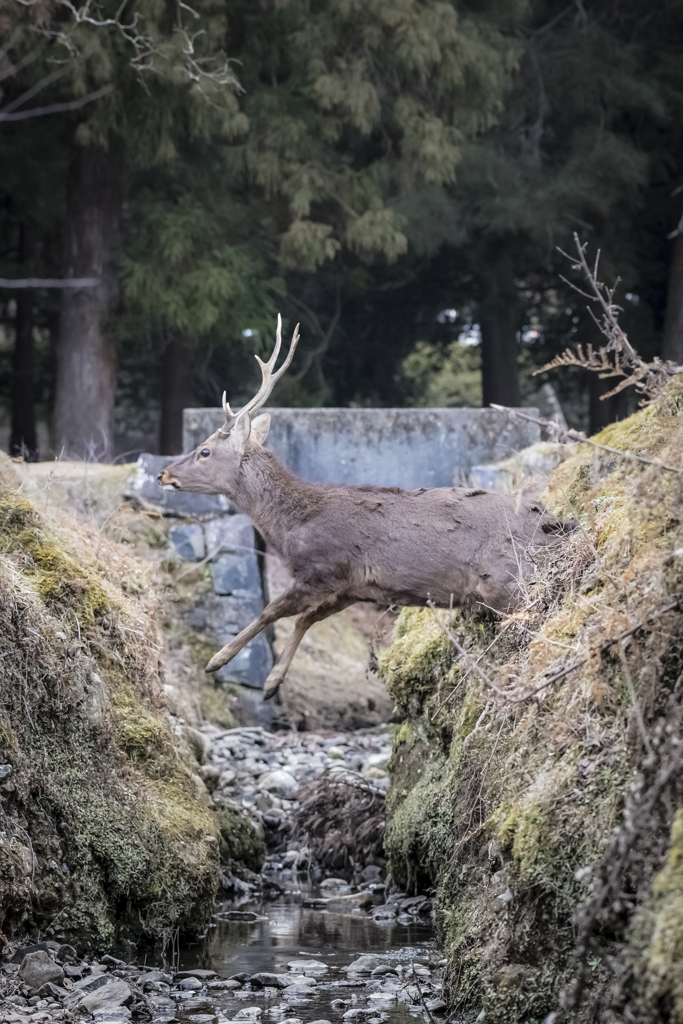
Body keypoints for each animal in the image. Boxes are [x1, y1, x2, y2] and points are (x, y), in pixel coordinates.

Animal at [160, 315, 573, 700]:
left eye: (204, 451)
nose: (164, 473)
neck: (291, 527)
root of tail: (555, 522)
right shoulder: (358, 586)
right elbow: (305, 620)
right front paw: (272, 683)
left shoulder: (324, 567)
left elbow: (272, 611)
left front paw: (218, 659)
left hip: (507, 580)